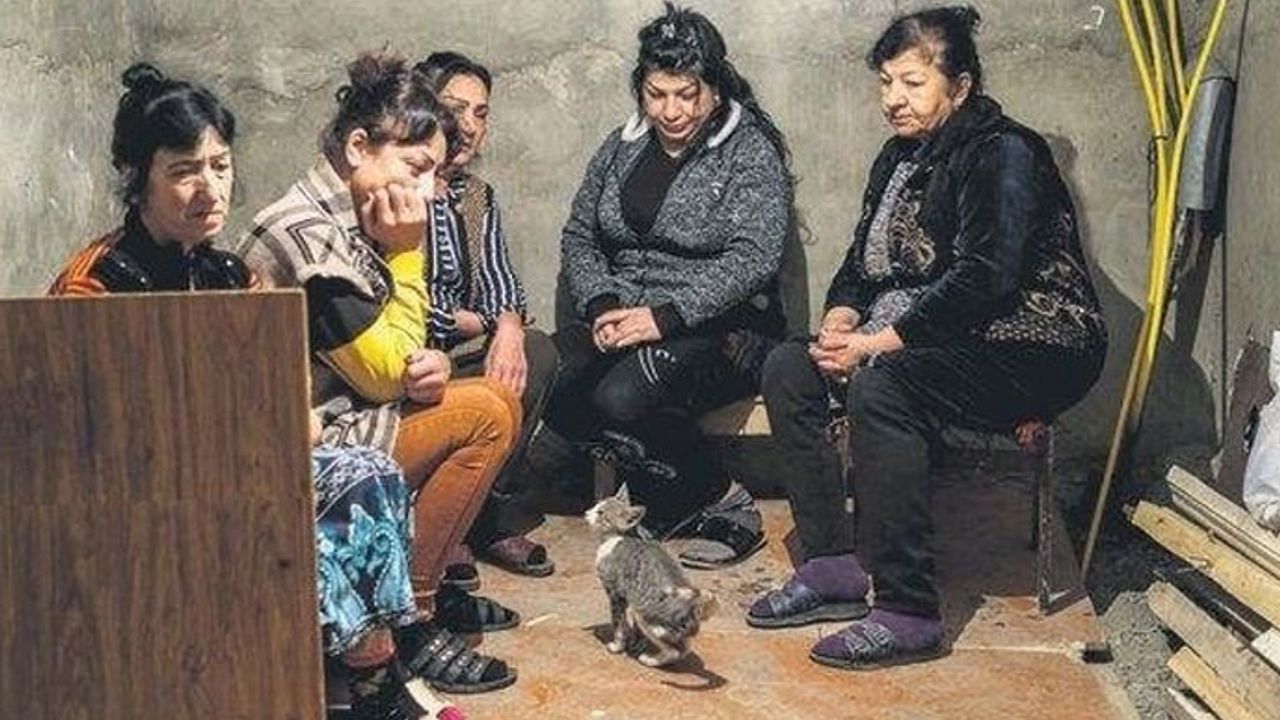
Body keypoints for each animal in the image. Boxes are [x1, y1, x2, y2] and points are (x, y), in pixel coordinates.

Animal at [585, 485, 718, 667]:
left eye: (601, 513)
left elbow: (618, 624)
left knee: (678, 650)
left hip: (644, 614)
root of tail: (693, 605)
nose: (586, 513)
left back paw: (651, 660)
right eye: (596, 506)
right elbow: (631, 627)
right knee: (684, 645)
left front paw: (617, 646)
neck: (619, 537)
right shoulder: (630, 595)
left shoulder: (616, 593)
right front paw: (636, 642)